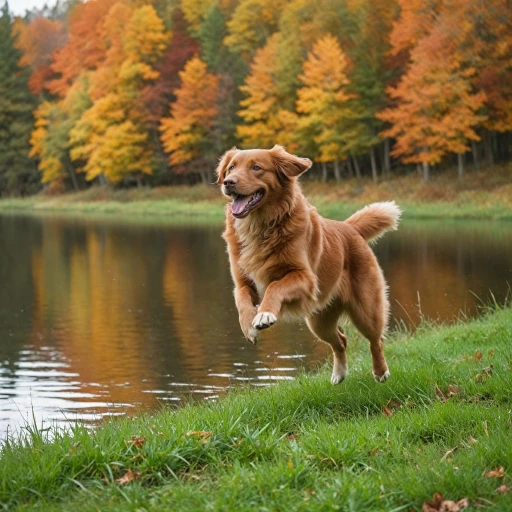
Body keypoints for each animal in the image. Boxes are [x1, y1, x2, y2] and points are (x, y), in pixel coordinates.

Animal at [216, 146, 400, 382]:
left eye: (256, 167)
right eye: (231, 168)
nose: (228, 182)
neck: (259, 227)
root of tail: (349, 227)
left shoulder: (305, 278)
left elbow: (275, 286)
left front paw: (264, 314)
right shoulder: (243, 282)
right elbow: (241, 299)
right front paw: (248, 326)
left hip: (366, 308)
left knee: (376, 339)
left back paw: (380, 371)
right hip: (319, 319)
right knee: (341, 340)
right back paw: (339, 374)